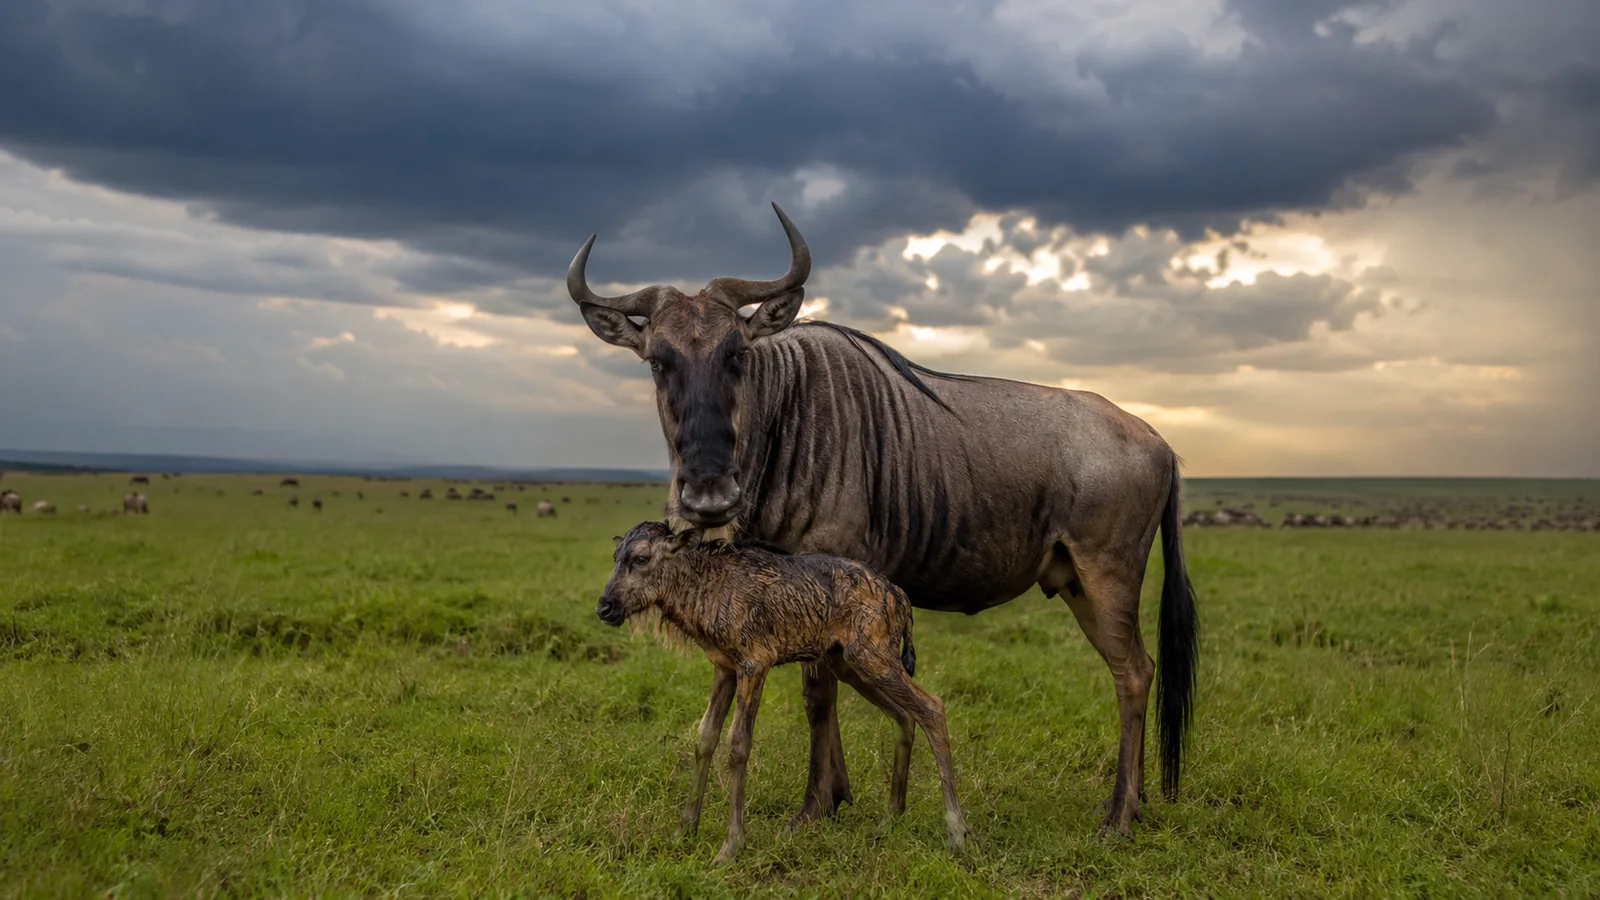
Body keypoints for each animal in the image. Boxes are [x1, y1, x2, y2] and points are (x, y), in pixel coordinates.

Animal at [566, 203, 1199, 835]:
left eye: (737, 354)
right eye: (658, 361)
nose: (707, 495)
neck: (784, 416)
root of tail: (1158, 439)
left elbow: (817, 695)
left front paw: (813, 807)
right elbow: (820, 688)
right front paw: (839, 796)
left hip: (1109, 576)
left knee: (1135, 672)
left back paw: (1118, 816)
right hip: (1074, 584)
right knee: (1132, 669)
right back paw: (1129, 802)